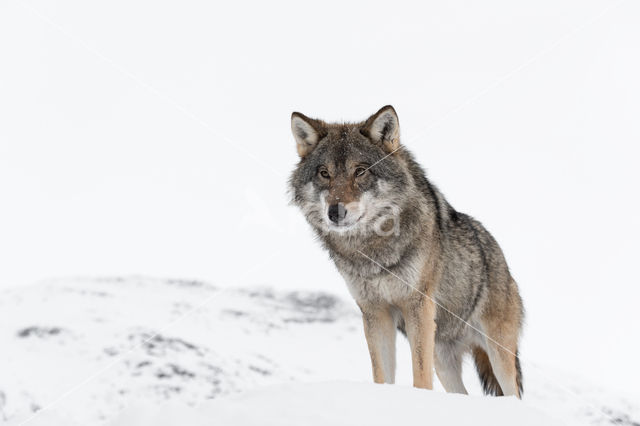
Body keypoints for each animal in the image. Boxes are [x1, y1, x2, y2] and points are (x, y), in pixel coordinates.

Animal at [290, 105, 524, 396]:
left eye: (360, 171)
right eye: (324, 173)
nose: (335, 212)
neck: (373, 251)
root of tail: (502, 259)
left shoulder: (418, 307)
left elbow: (420, 377)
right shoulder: (374, 312)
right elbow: (382, 374)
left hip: (498, 355)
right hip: (443, 361)